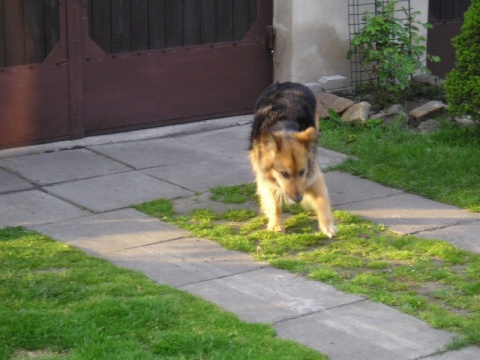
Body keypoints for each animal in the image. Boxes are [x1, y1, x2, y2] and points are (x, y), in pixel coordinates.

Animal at [249, 82, 336, 239]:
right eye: (284, 174)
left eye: (302, 172)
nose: (298, 199)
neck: (285, 128)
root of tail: (287, 83)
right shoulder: (267, 180)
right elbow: (274, 205)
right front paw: (276, 225)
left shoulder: (314, 176)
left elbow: (322, 201)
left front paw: (327, 226)